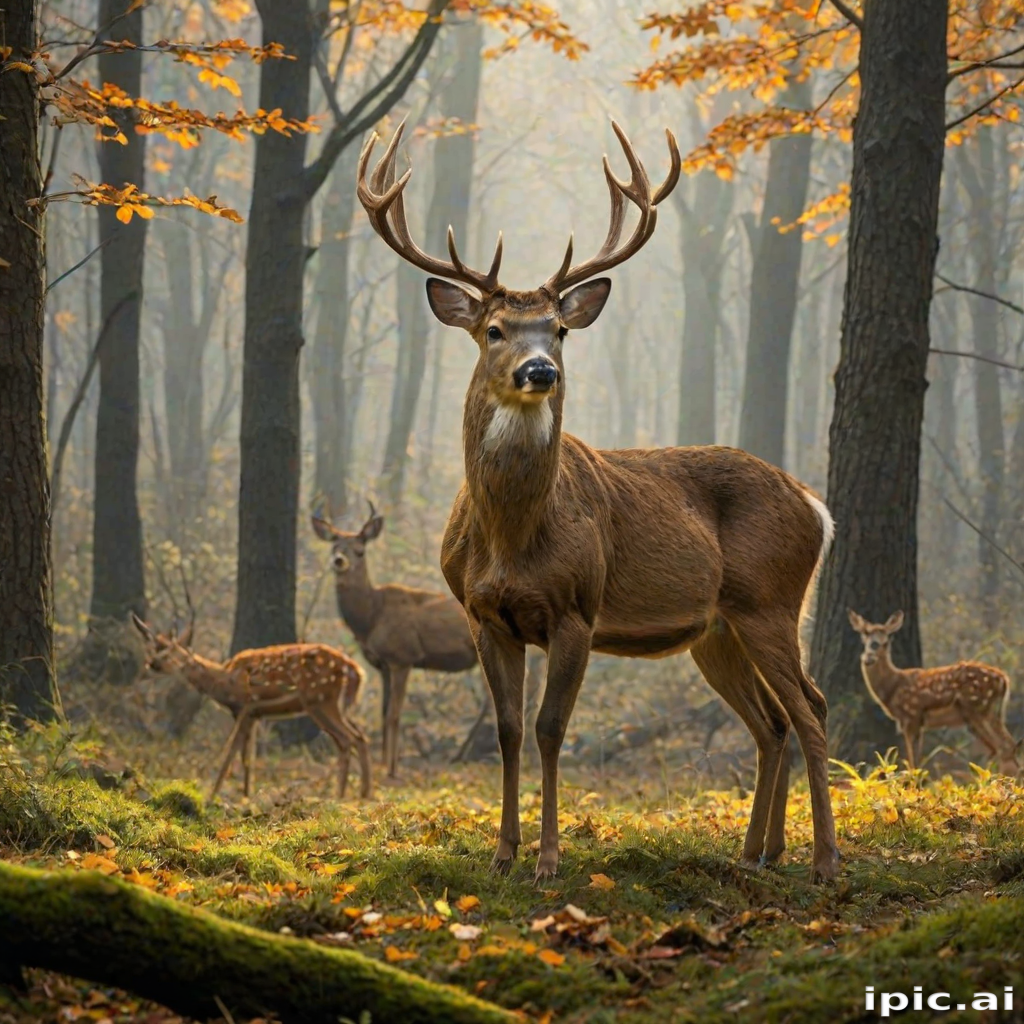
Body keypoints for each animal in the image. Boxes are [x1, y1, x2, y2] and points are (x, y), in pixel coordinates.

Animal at [133, 615, 372, 799]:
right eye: (152, 649)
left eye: (170, 652)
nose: (151, 664)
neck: (223, 683)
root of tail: (355, 671)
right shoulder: (255, 714)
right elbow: (248, 756)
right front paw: (246, 795)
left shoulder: (245, 706)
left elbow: (232, 750)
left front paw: (213, 795)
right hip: (334, 705)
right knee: (356, 737)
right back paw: (356, 794)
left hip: (319, 700)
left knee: (349, 739)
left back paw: (347, 795)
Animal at [312, 501, 479, 778]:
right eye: (335, 547)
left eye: (360, 551)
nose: (339, 561)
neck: (370, 618)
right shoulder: (382, 665)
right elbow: (382, 712)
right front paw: (381, 763)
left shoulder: (402, 657)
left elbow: (394, 714)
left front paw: (391, 769)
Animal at [355, 120, 841, 883]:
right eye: (494, 330)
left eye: (557, 329)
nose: (540, 370)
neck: (512, 536)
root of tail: (814, 505)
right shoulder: (482, 614)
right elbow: (507, 729)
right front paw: (502, 855)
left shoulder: (576, 608)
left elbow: (552, 729)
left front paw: (550, 860)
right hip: (717, 627)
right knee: (772, 722)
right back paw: (756, 853)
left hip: (770, 600)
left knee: (813, 708)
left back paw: (823, 860)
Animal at [848, 609, 1020, 776]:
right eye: (864, 637)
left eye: (886, 641)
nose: (869, 658)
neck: (893, 686)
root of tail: (1004, 680)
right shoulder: (917, 722)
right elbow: (916, 761)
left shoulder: (912, 715)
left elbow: (913, 762)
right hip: (991, 714)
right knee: (1006, 746)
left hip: (978, 708)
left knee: (1004, 747)